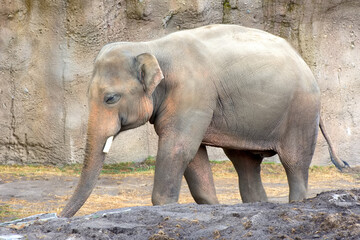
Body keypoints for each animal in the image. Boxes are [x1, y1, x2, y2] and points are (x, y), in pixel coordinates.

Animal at [59, 24, 348, 218]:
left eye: (110, 98)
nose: (57, 217)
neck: (151, 46)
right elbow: (193, 155)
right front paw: (212, 207)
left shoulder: (193, 94)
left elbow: (178, 149)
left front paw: (165, 206)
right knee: (245, 164)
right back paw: (257, 205)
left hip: (301, 112)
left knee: (295, 164)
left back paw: (296, 203)